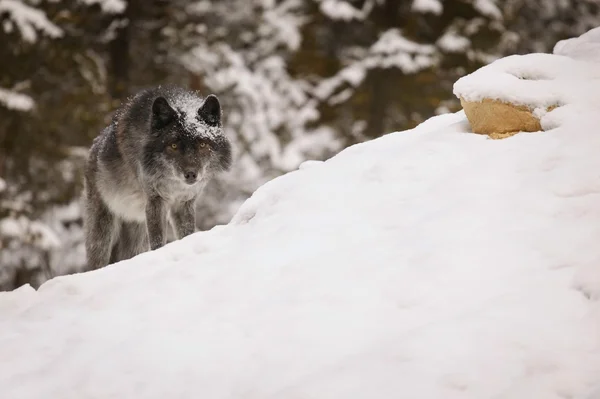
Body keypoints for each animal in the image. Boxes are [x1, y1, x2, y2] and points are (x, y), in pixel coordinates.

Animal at [83, 85, 233, 270]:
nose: (191, 174)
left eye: (203, 144)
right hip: (103, 230)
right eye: (173, 146)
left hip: (136, 231)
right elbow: (158, 240)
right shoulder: (156, 201)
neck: (174, 185)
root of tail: (93, 148)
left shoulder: (184, 204)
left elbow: (186, 233)